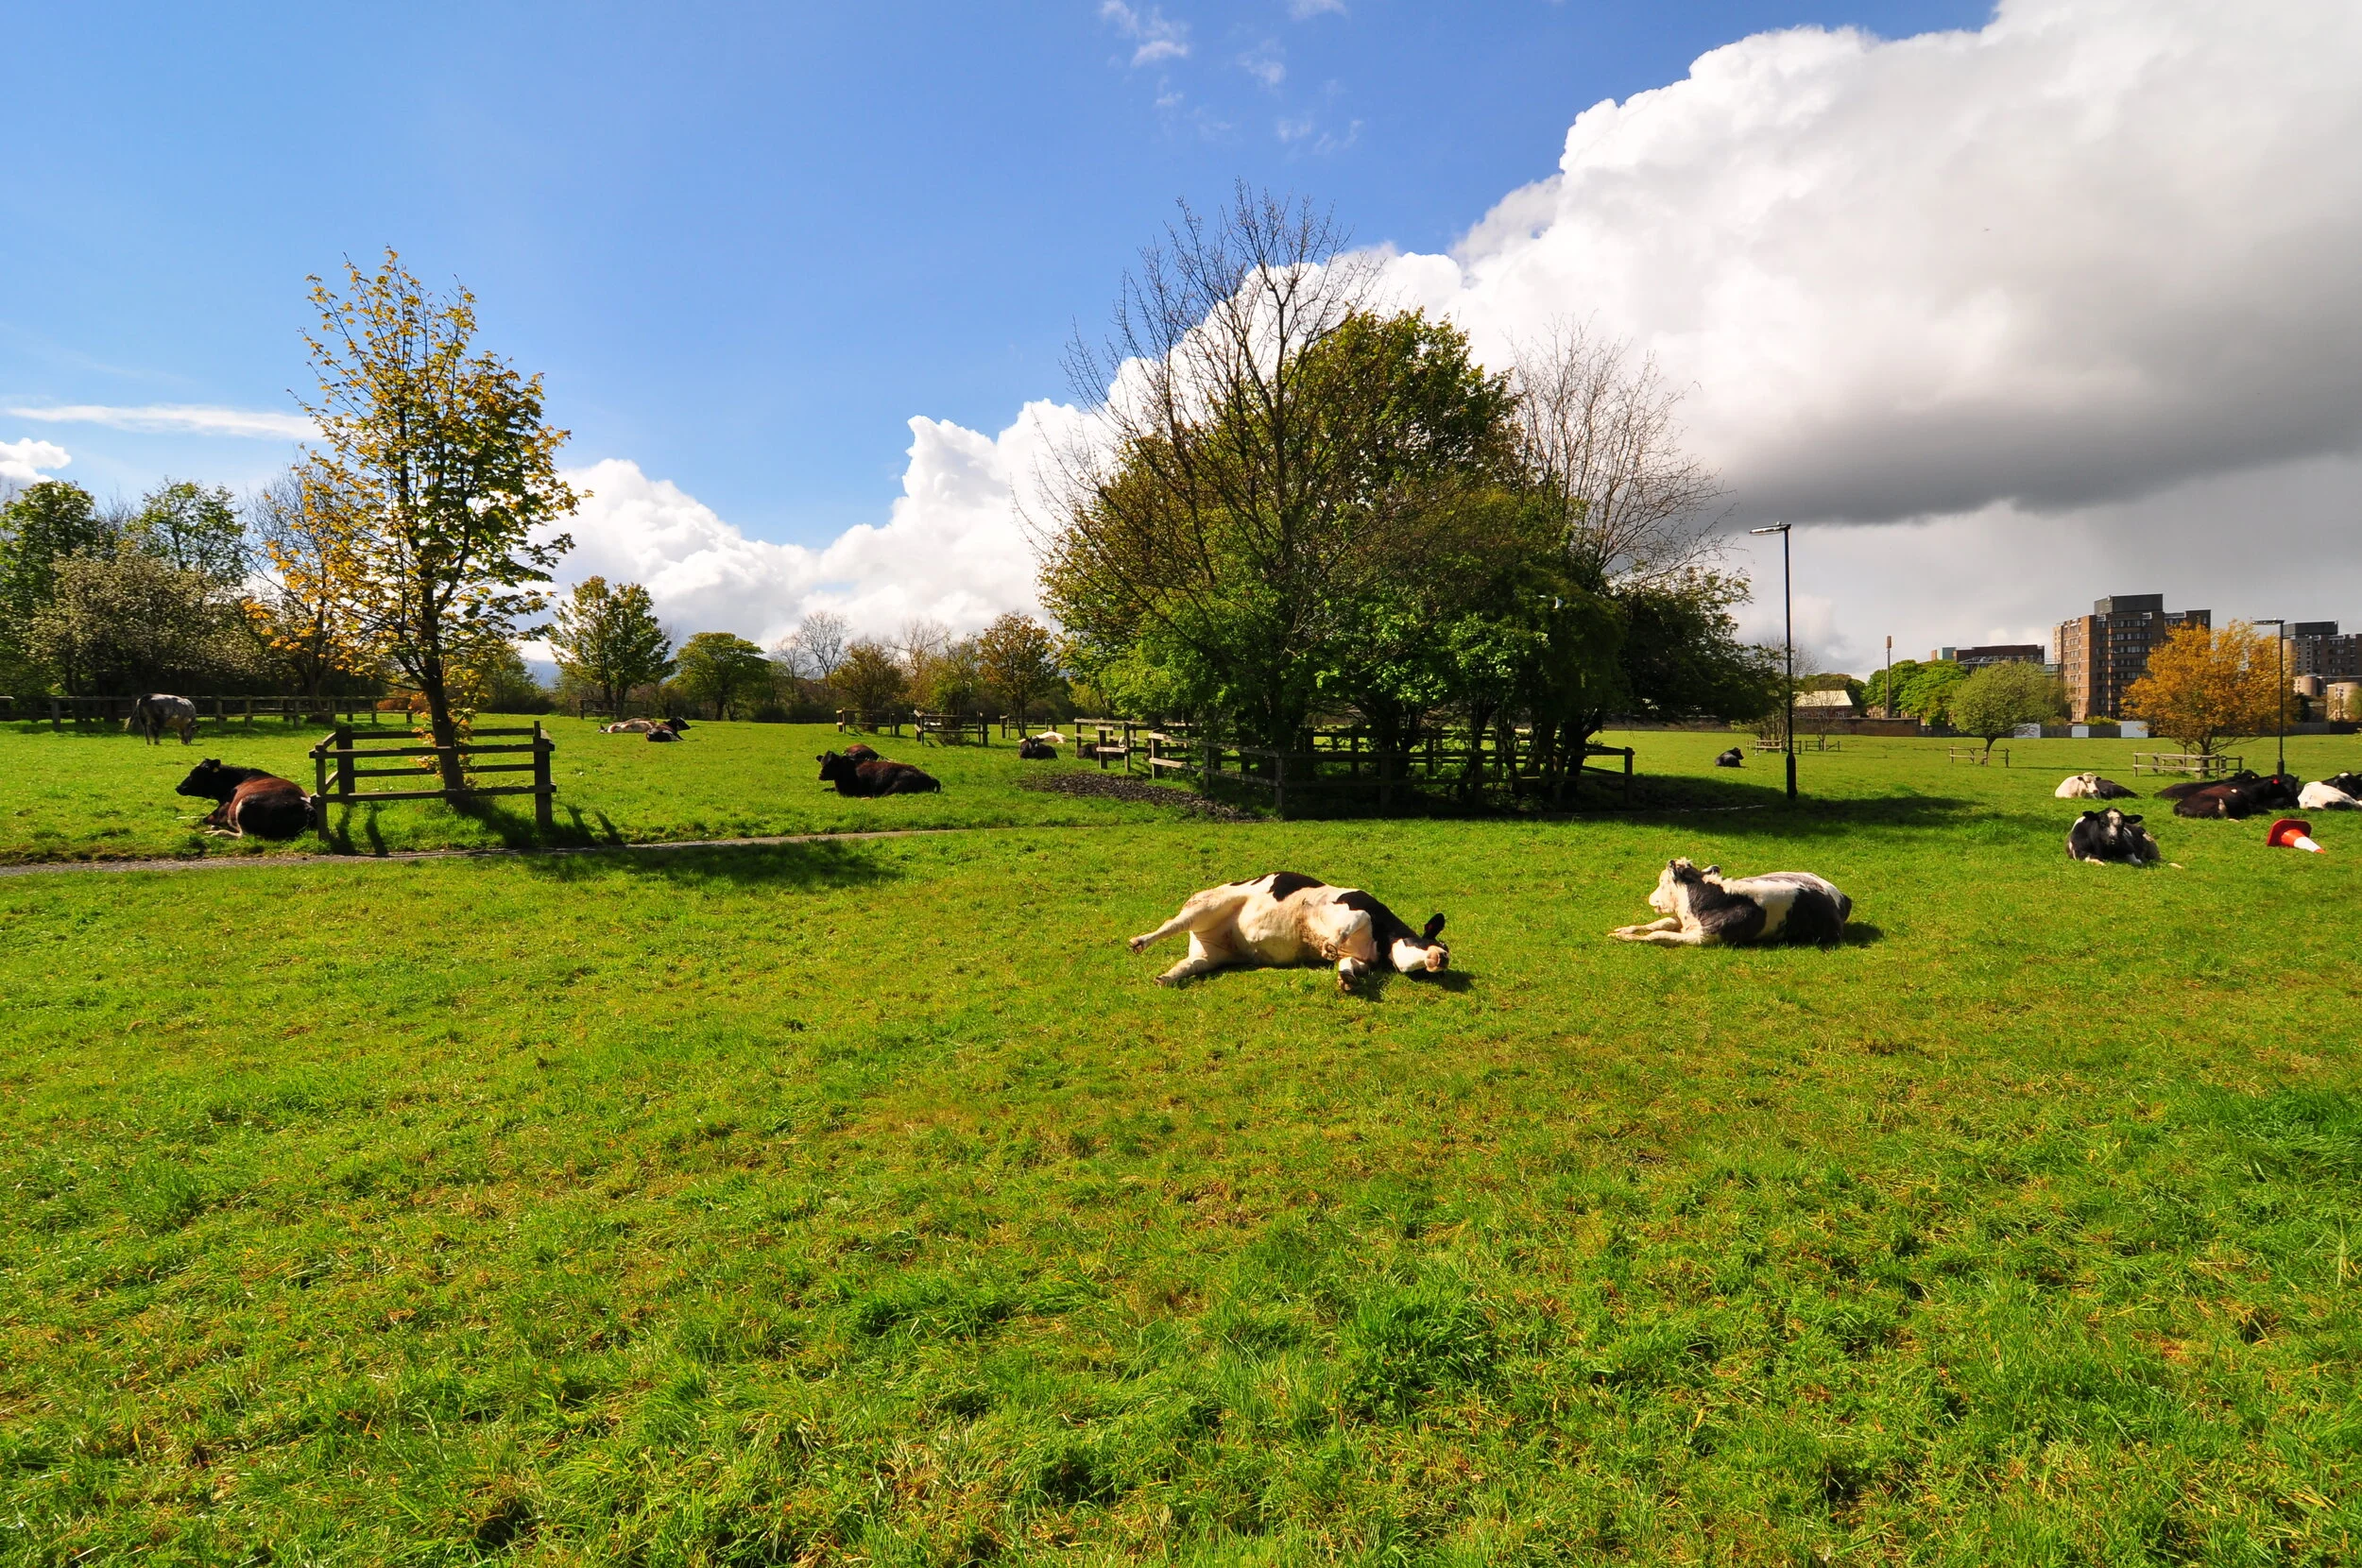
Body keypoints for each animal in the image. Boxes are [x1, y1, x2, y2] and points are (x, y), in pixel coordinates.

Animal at [175, 760, 313, 839]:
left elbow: (201, 818)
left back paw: (219, 833)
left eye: (194, 774)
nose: (178, 787)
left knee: (245, 835)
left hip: (244, 803)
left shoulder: (221, 811)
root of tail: (307, 806)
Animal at [1127, 871, 1448, 992]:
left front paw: (1346, 980)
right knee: (1171, 924)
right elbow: (1349, 925)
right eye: (1437, 942)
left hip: (1211, 955)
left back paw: (1165, 978)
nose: (1444, 958)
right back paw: (1139, 942)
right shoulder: (1353, 906)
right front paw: (1329, 945)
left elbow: (1347, 965)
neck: (1380, 939)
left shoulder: (1359, 958)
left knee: (1189, 965)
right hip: (1207, 905)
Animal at [1610, 859, 1852, 948]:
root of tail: (1839, 895)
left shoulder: (1704, 937)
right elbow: (1658, 925)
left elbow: (1658, 934)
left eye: (1661, 881)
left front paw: (1625, 937)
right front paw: (1623, 930)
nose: (1650, 897)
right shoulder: (1684, 921)